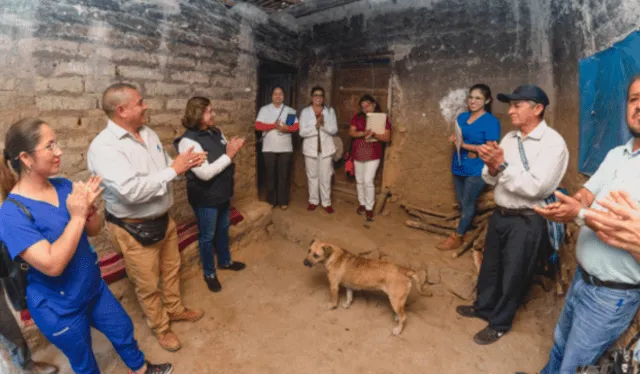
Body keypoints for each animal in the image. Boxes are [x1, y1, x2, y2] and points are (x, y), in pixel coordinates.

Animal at [304, 240, 432, 336]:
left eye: (316, 255)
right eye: (309, 250)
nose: (304, 262)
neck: (334, 256)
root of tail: (405, 270)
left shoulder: (334, 286)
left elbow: (334, 299)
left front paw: (331, 306)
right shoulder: (349, 286)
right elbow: (349, 297)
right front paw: (346, 305)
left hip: (395, 300)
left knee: (404, 317)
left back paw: (397, 330)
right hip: (398, 300)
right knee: (400, 313)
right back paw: (396, 318)